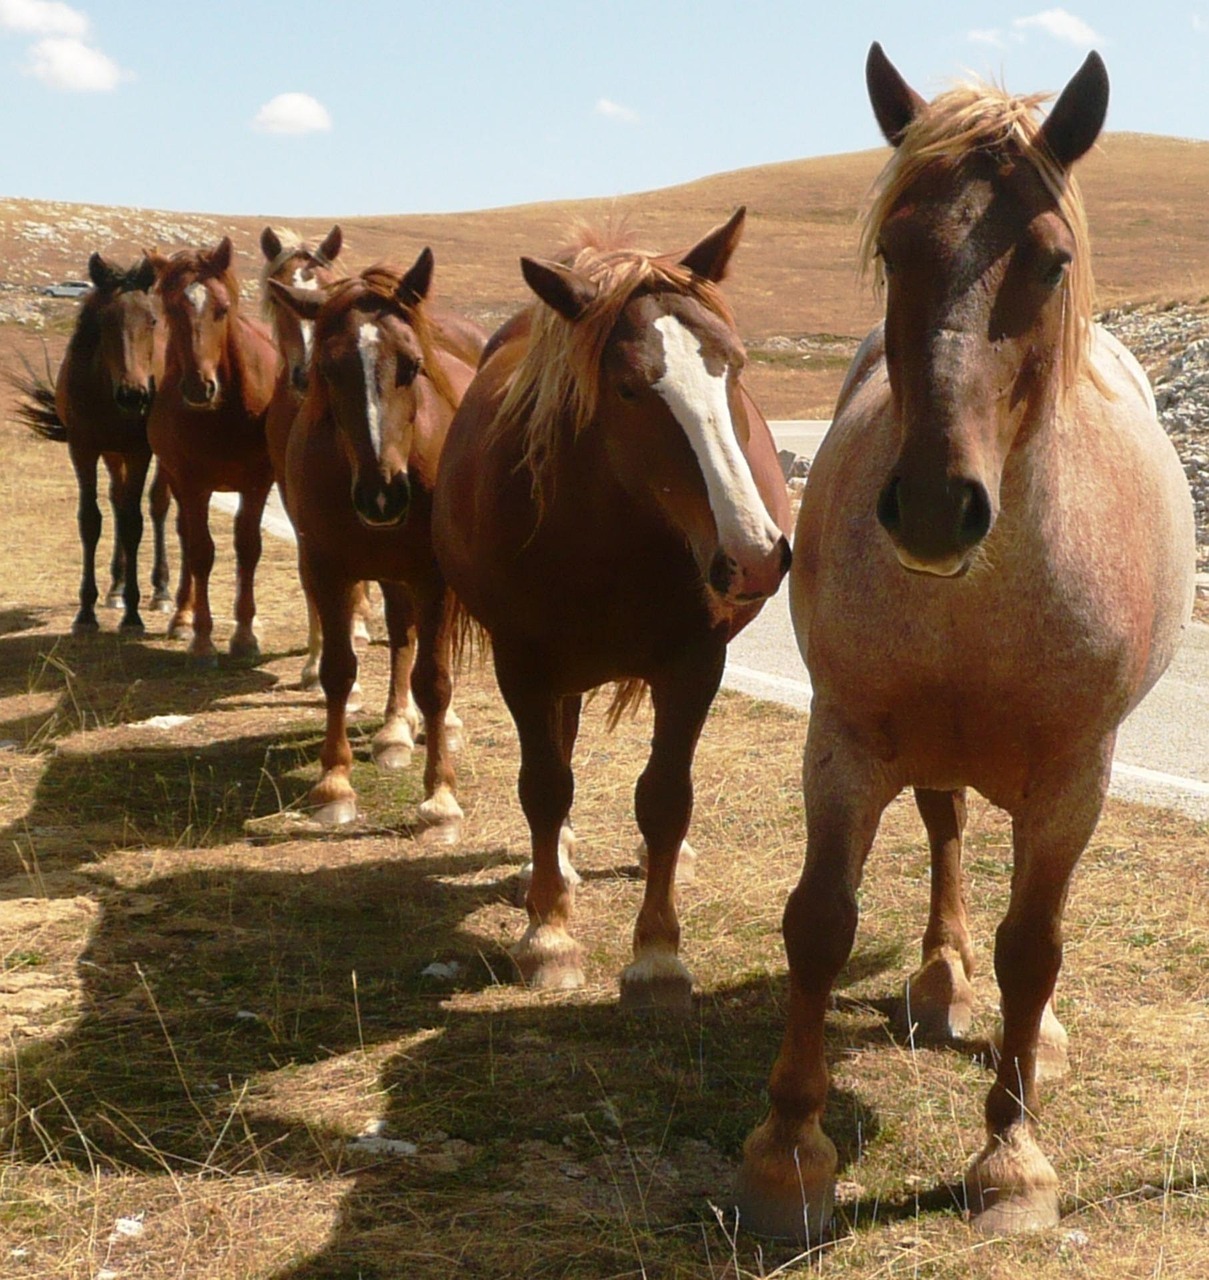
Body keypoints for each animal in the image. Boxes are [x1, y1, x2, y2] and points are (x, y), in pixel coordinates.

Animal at [10, 252, 172, 632]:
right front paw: (86, 611)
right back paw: (115, 588)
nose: (134, 395)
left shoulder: (139, 451)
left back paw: (161, 591)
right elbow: (91, 520)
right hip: (112, 454)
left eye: (152, 320)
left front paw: (133, 615)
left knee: (157, 504)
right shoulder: (83, 449)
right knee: (117, 500)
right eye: (106, 322)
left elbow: (134, 522)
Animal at [146, 238, 278, 670]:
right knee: (186, 538)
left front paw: (244, 635)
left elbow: (248, 548)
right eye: (172, 309)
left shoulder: (257, 483)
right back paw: (182, 617)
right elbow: (201, 552)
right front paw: (202, 640)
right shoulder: (191, 484)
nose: (199, 387)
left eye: (222, 309)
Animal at [269, 249, 486, 829]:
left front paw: (440, 797)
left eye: (410, 365)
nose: (382, 495)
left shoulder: (434, 577)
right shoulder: (327, 569)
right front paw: (334, 784)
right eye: (329, 369)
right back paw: (393, 730)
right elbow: (338, 670)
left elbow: (435, 679)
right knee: (401, 635)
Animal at [432, 209, 793, 1008]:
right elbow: (544, 788)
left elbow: (664, 799)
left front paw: (658, 955)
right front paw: (549, 936)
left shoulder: (695, 664)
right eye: (629, 389)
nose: (753, 555)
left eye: (735, 366)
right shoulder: (524, 664)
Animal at [731, 47, 1192, 1239]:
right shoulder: (843, 741)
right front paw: (786, 1154)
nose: (938, 507)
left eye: (1053, 261)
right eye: (895, 250)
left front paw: (1012, 1158)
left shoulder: (1075, 775)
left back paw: (1038, 1039)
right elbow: (817, 924)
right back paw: (942, 982)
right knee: (943, 835)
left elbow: (1034, 947)